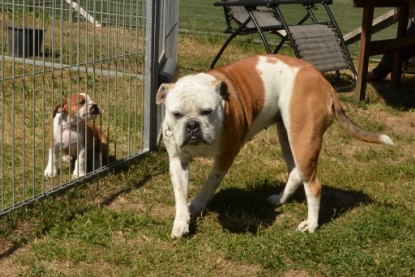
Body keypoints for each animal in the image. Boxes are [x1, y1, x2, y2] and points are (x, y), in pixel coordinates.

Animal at [157, 53, 396, 237]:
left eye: (207, 111)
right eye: (176, 114)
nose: (192, 126)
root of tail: (325, 83)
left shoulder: (225, 157)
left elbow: (208, 185)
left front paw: (197, 205)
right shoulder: (177, 161)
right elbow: (180, 193)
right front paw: (182, 222)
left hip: (302, 137)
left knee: (313, 184)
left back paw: (311, 225)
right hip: (287, 135)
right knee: (296, 172)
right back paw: (280, 199)